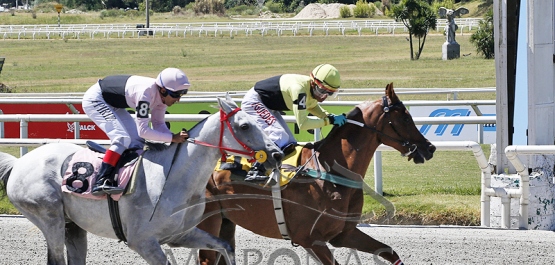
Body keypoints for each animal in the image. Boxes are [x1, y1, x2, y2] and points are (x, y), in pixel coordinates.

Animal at [198, 82, 436, 262]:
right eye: (405, 118)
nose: (430, 148)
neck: (330, 170)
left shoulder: (344, 234)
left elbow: (390, 251)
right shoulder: (311, 239)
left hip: (226, 223)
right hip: (210, 221)